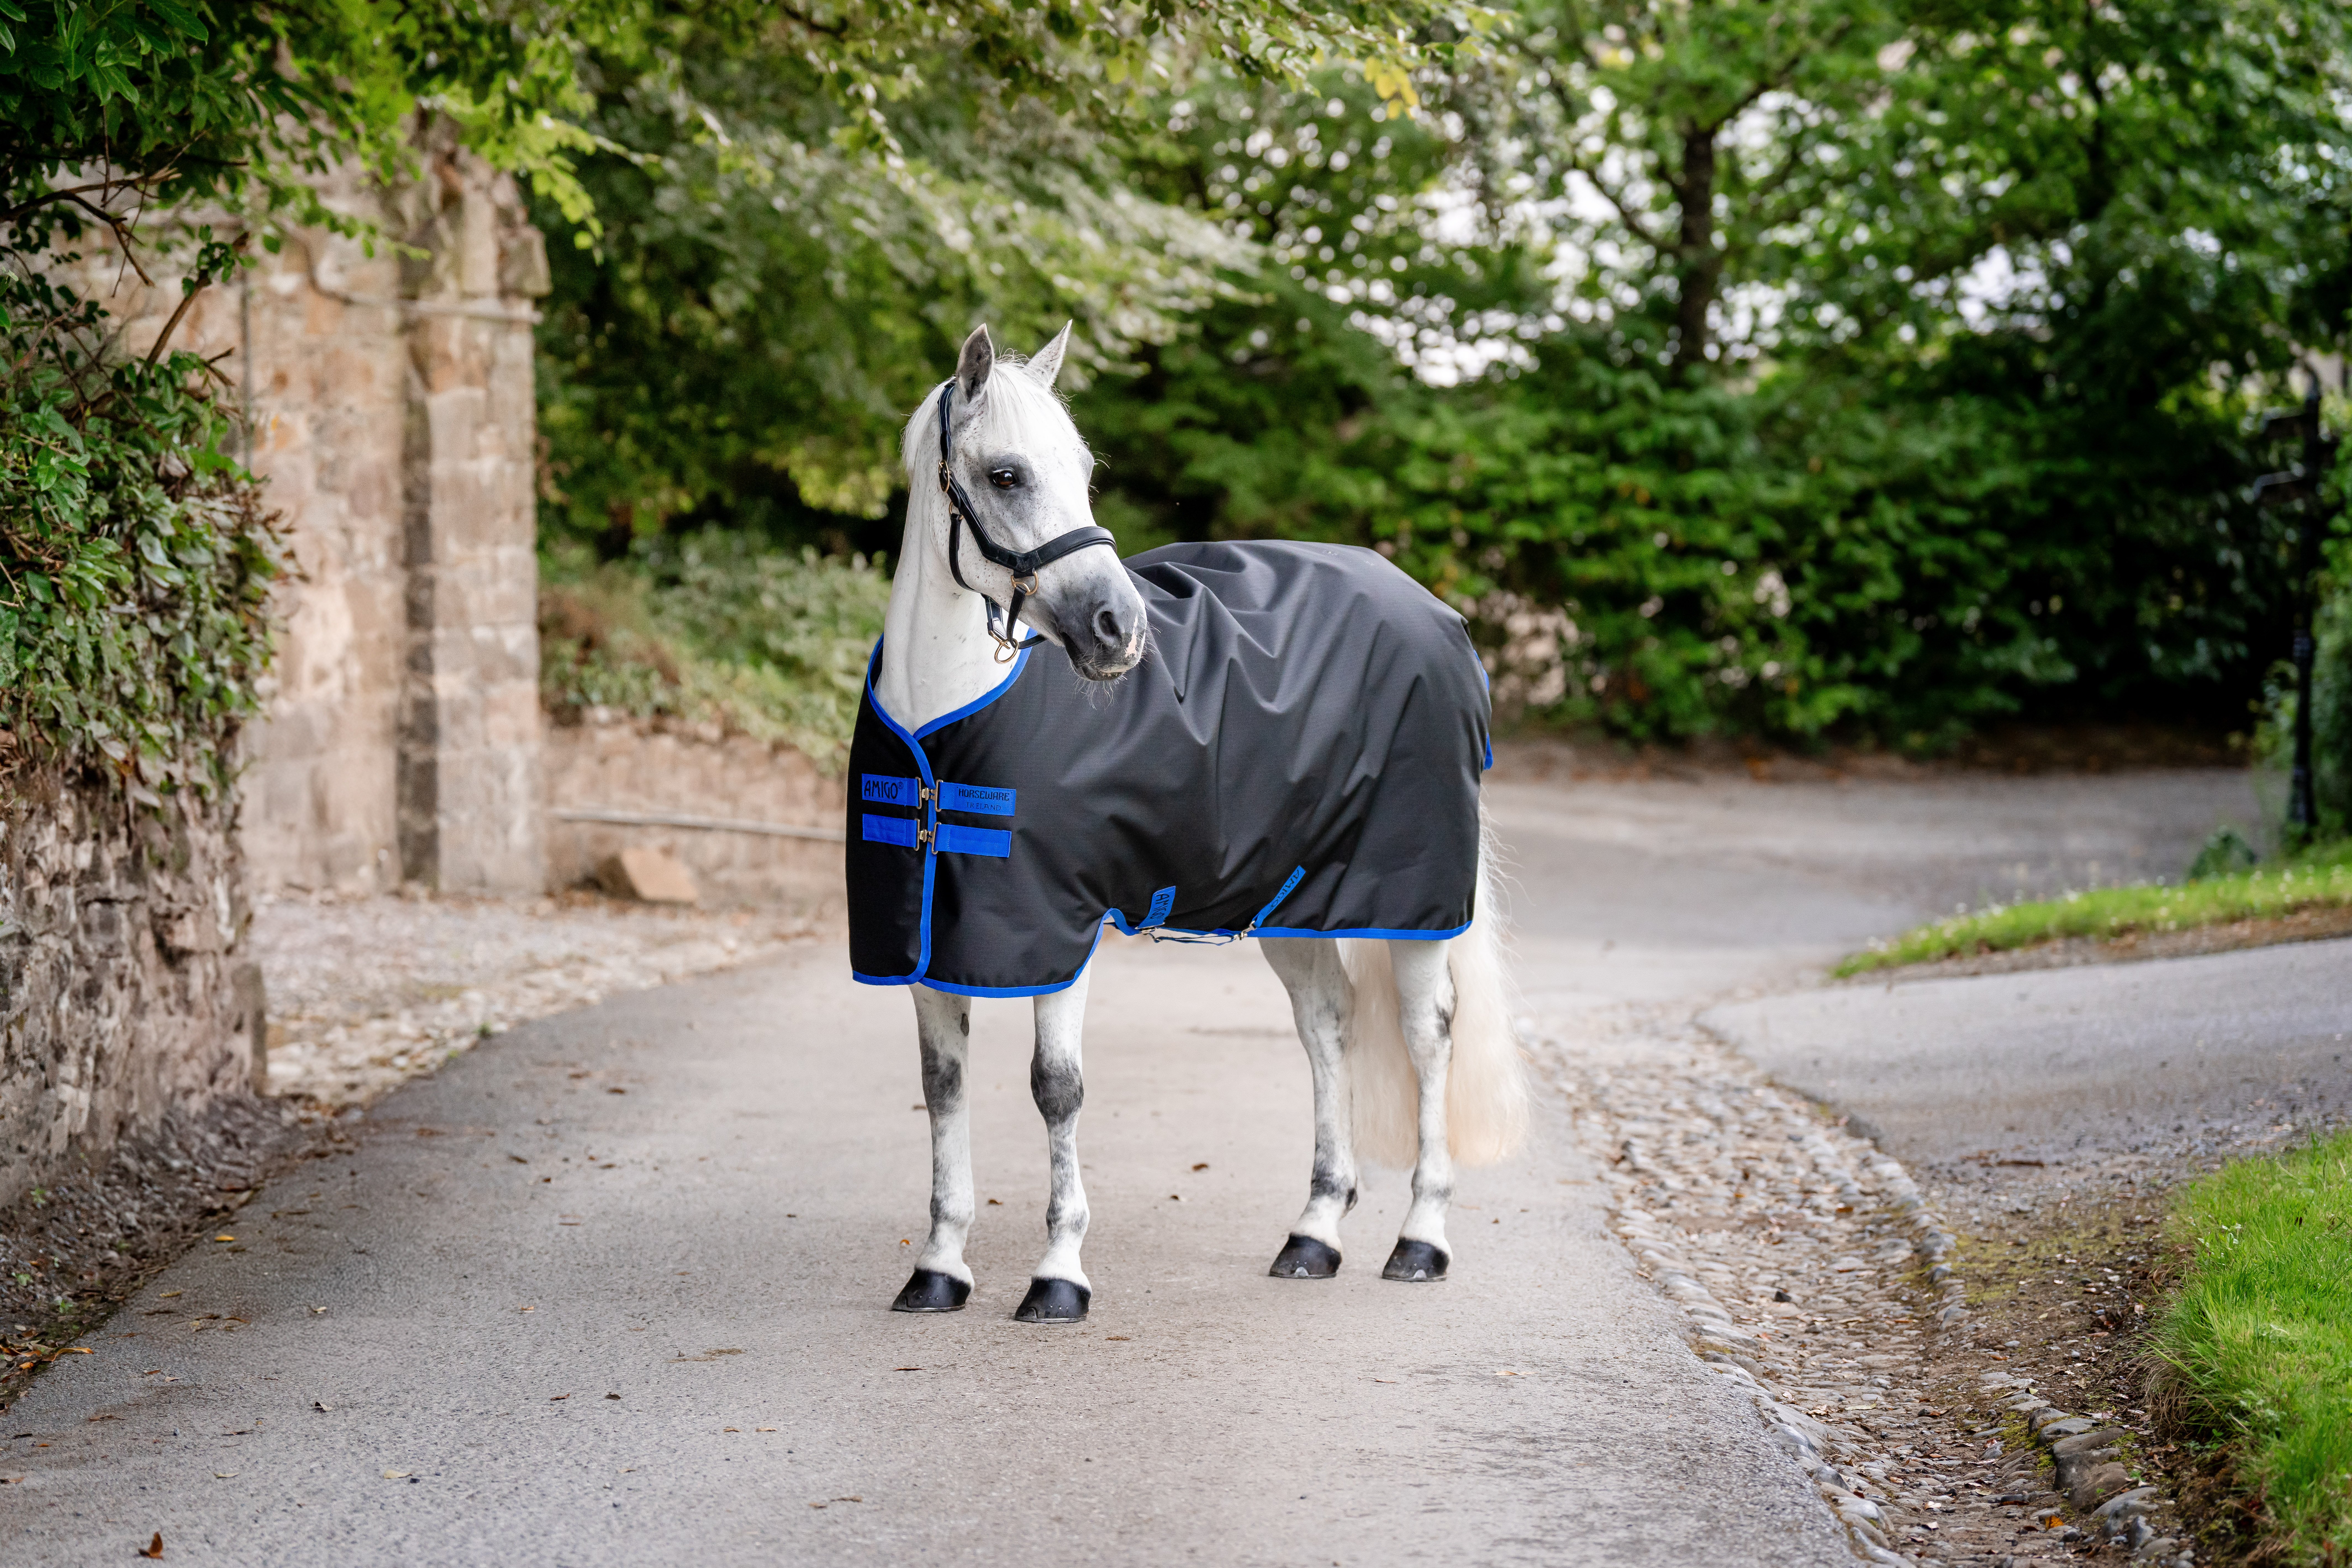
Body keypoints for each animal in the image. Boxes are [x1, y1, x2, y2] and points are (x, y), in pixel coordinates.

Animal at [847, 323, 1527, 1324]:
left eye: (1084, 468)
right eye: (1007, 474)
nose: (1118, 629)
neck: (943, 729)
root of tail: (1437, 614)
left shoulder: (1062, 932)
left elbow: (1056, 1088)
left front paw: (1059, 1273)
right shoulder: (930, 941)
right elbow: (943, 1089)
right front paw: (938, 1266)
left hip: (1413, 902)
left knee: (1426, 1033)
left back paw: (1420, 1238)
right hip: (1293, 903)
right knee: (1327, 1026)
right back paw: (1313, 1232)